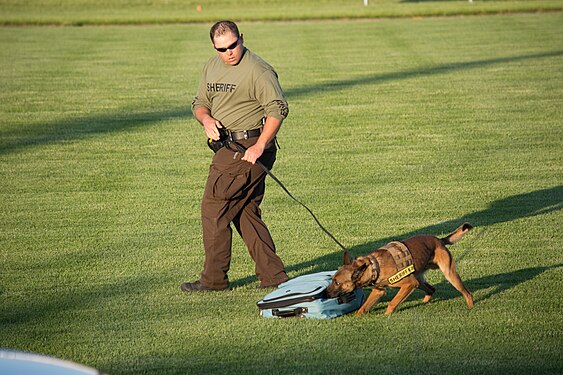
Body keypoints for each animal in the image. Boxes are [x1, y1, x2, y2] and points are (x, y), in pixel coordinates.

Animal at [326, 225, 476, 316]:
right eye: (332, 280)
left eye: (337, 283)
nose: (324, 294)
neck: (373, 266)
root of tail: (439, 240)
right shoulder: (378, 291)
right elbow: (363, 307)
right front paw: (356, 318)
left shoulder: (408, 284)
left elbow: (392, 303)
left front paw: (387, 316)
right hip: (419, 280)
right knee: (431, 289)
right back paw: (425, 302)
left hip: (448, 274)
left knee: (467, 293)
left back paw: (471, 307)